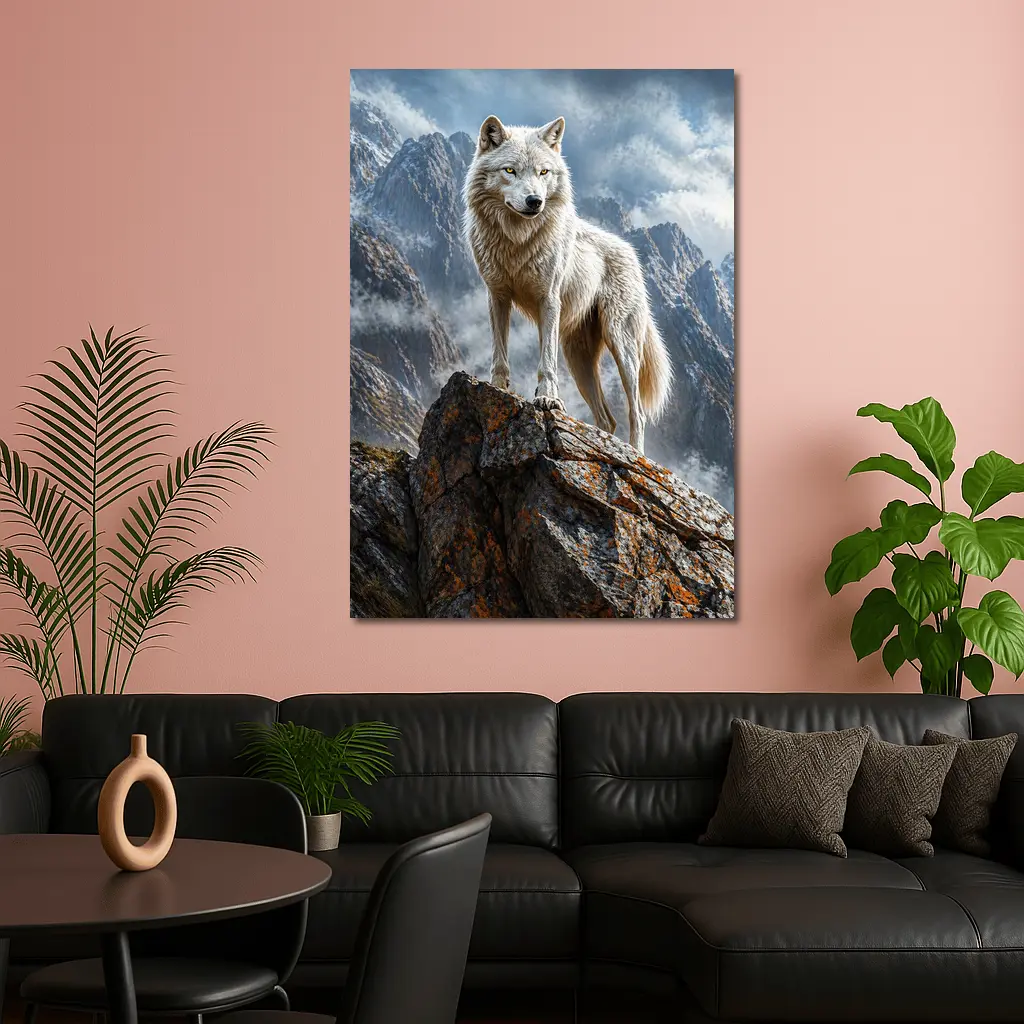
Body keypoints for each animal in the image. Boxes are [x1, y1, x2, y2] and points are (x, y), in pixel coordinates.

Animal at [462, 114, 672, 453]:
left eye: (543, 172)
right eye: (510, 170)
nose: (535, 201)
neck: (517, 240)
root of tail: (632, 255)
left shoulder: (549, 300)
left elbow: (546, 362)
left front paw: (548, 399)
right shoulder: (497, 296)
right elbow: (499, 354)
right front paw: (496, 388)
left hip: (621, 346)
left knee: (637, 413)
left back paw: (635, 454)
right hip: (579, 360)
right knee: (607, 419)